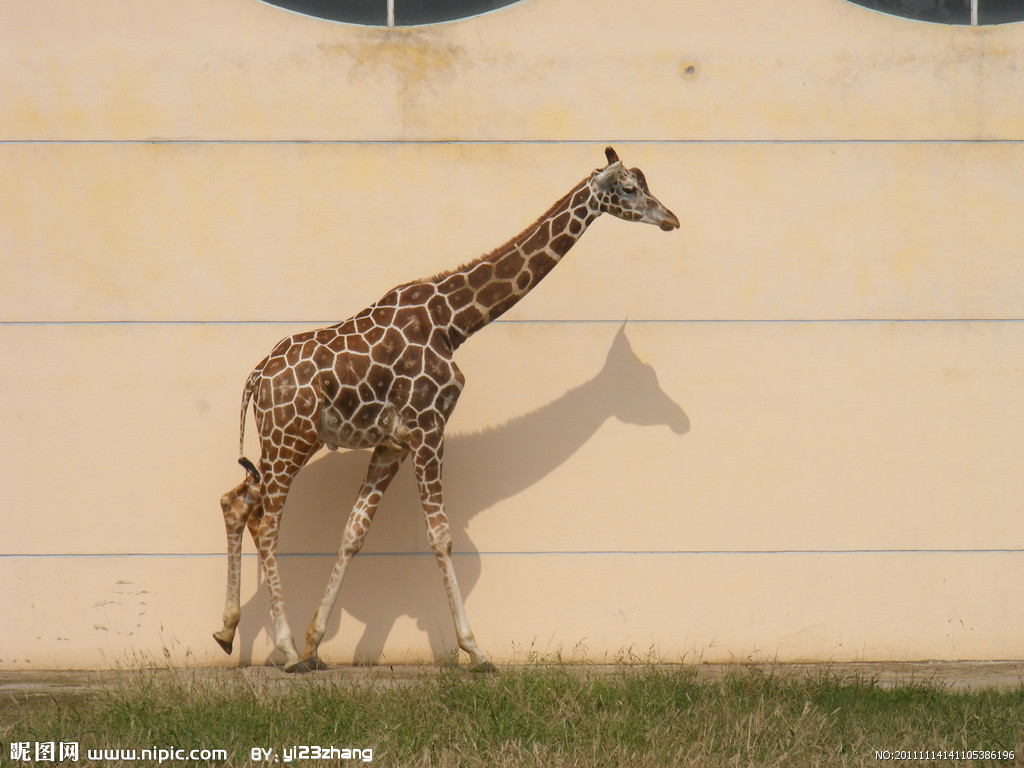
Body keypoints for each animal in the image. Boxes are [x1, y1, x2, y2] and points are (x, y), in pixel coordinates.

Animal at [214, 145, 679, 671]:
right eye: (629, 188)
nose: (671, 218)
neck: (454, 322)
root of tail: (256, 377)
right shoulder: (428, 427)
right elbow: (440, 535)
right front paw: (475, 650)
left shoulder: (392, 444)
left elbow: (353, 533)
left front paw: (317, 643)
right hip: (290, 437)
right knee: (266, 521)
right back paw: (286, 651)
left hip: (286, 440)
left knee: (236, 501)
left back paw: (229, 633)